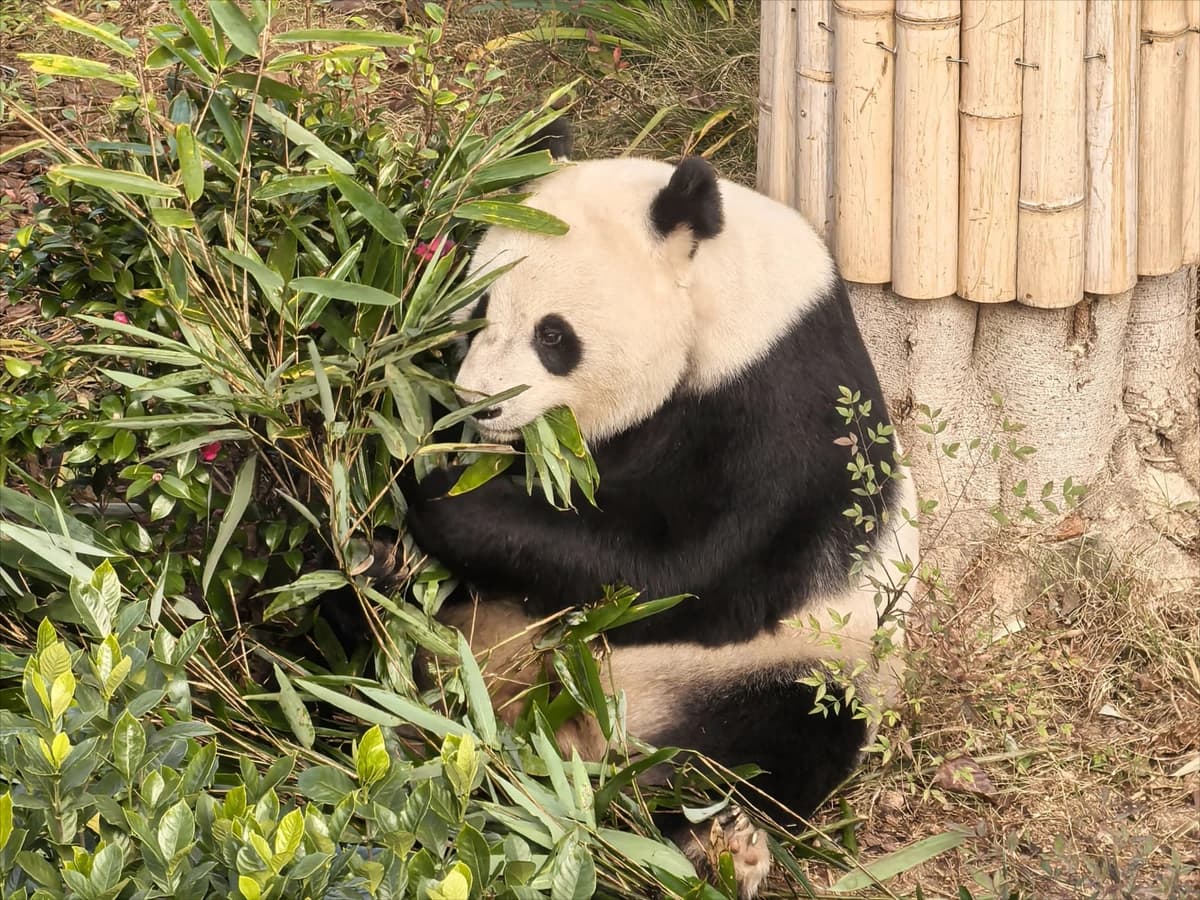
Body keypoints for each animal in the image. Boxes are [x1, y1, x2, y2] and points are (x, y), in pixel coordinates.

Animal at [388, 125, 919, 898]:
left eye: (554, 335)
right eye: (478, 311)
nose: (480, 404)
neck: (726, 296)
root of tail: (562, 729)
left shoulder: (785, 409)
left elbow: (683, 570)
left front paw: (442, 497)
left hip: (800, 662)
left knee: (787, 737)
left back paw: (706, 842)